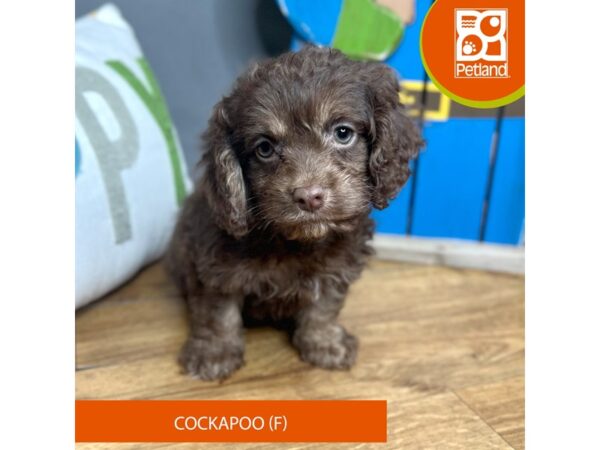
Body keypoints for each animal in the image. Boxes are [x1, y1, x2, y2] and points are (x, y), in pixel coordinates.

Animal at [164, 45, 422, 380]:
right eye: (264, 148)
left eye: (343, 133)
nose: (309, 197)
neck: (293, 242)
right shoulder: (214, 266)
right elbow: (217, 313)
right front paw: (214, 351)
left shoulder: (336, 266)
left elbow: (323, 307)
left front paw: (324, 342)